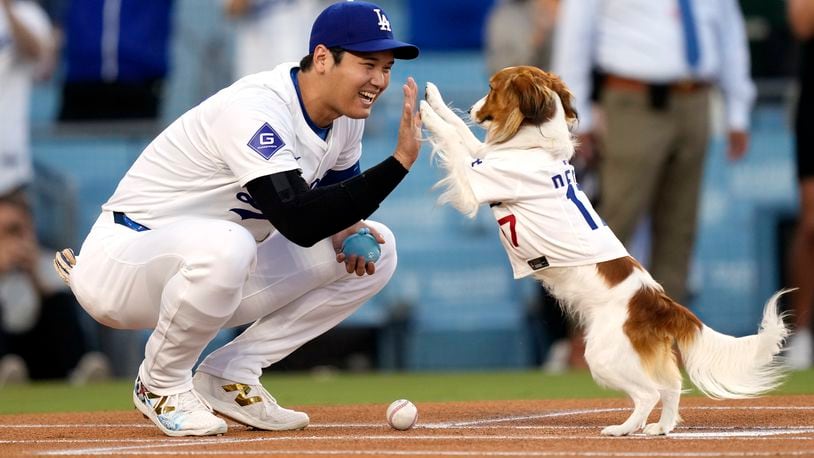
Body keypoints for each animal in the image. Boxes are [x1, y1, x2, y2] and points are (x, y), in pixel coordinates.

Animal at [420, 65, 792, 436]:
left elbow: (453, 138)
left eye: (492, 88)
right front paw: (433, 100)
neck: (536, 145)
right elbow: (461, 133)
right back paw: (660, 428)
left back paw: (623, 428)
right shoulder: (484, 158)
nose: (472, 109)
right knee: (671, 386)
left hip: (602, 356)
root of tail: (658, 301)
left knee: (648, 393)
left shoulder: (474, 186)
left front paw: (424, 113)